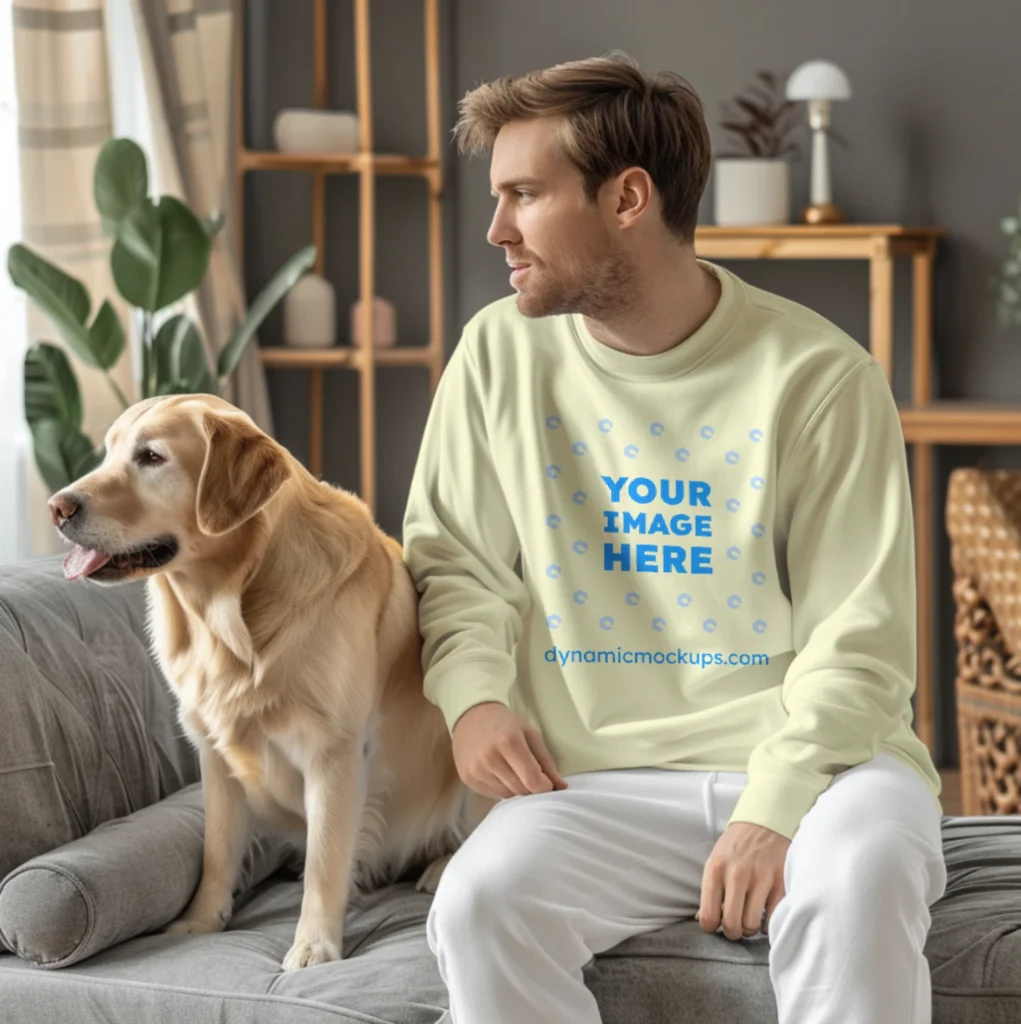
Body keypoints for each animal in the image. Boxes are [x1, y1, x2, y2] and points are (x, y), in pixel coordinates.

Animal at [49, 389, 487, 966]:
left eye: (151, 457)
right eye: (108, 452)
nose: (57, 507)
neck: (231, 607)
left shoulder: (333, 753)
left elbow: (326, 859)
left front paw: (314, 945)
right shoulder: (214, 755)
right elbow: (216, 850)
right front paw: (202, 921)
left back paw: (442, 866)